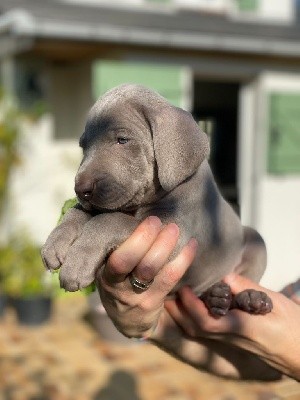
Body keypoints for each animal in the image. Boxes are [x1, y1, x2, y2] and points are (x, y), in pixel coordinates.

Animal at [41, 83, 274, 316]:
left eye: (122, 140)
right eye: (84, 147)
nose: (80, 190)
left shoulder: (174, 227)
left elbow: (109, 220)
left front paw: (78, 263)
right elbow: (78, 212)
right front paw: (55, 242)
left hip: (255, 242)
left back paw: (250, 297)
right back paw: (217, 298)